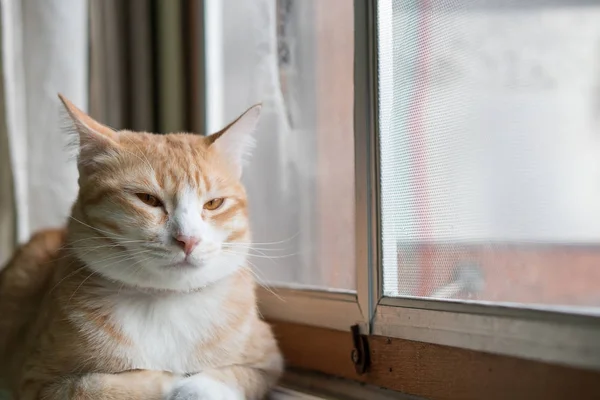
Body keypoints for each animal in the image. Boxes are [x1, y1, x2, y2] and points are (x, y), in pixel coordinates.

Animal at [0, 95, 284, 398]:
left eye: (213, 203)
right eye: (147, 199)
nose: (188, 239)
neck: (163, 302)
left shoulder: (268, 358)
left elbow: (228, 376)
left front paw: (191, 386)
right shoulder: (34, 379)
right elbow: (91, 385)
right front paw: (166, 380)